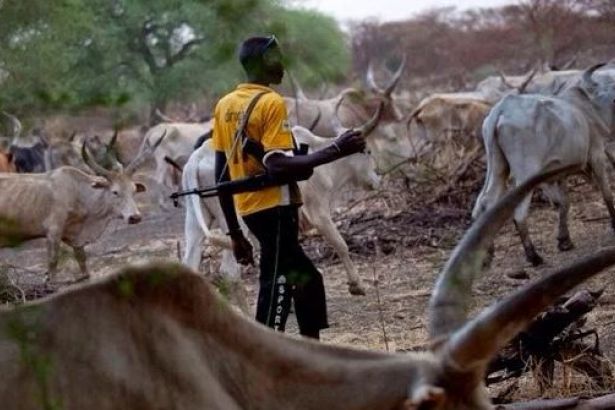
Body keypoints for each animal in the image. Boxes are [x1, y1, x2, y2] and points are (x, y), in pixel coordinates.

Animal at [474, 62, 612, 264]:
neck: (585, 107)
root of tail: (502, 109)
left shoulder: (558, 174)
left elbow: (564, 202)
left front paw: (564, 240)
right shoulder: (596, 154)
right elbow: (606, 192)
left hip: (498, 167)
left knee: (485, 202)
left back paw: (486, 254)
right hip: (526, 174)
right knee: (519, 212)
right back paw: (533, 256)